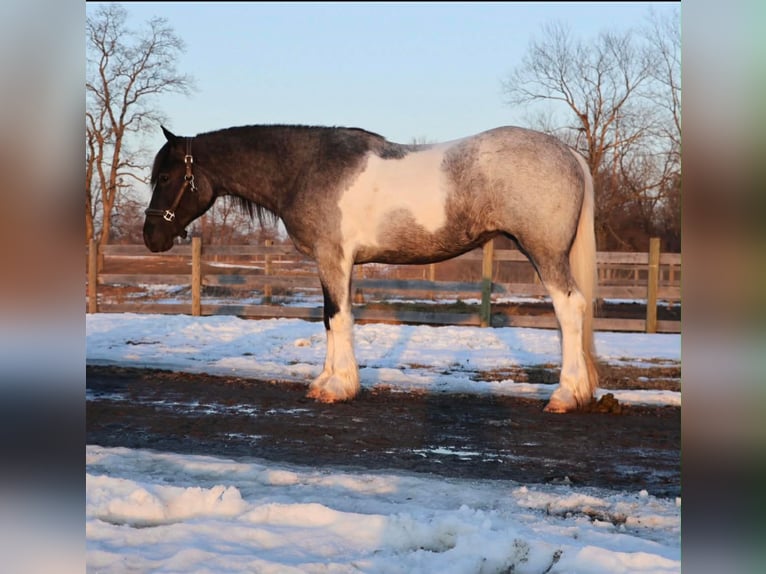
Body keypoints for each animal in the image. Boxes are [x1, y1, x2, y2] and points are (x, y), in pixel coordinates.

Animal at [143, 124, 598, 413]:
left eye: (165, 176)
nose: (151, 236)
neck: (305, 168)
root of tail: (568, 153)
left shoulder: (333, 257)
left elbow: (338, 318)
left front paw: (338, 387)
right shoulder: (338, 263)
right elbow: (330, 319)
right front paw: (325, 383)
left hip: (543, 252)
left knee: (569, 309)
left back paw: (565, 395)